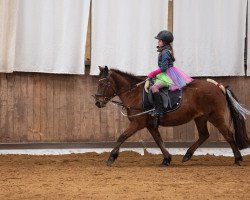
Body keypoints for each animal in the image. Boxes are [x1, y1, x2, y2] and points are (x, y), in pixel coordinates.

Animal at [94, 66, 248, 166]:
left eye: (105, 83)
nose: (98, 102)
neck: (134, 94)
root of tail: (218, 87)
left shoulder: (138, 123)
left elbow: (122, 137)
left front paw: (111, 158)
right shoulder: (150, 125)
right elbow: (159, 140)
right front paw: (167, 159)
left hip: (215, 117)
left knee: (228, 135)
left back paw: (237, 159)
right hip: (200, 118)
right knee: (204, 135)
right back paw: (187, 155)